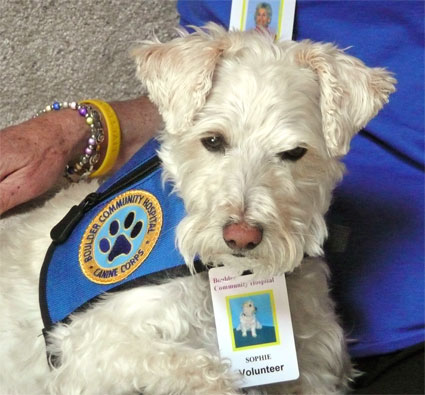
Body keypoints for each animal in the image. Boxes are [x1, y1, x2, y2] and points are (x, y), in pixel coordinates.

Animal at [0, 25, 394, 395]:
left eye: (295, 152)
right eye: (213, 140)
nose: (241, 237)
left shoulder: (315, 359)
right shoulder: (89, 346)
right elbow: (201, 369)